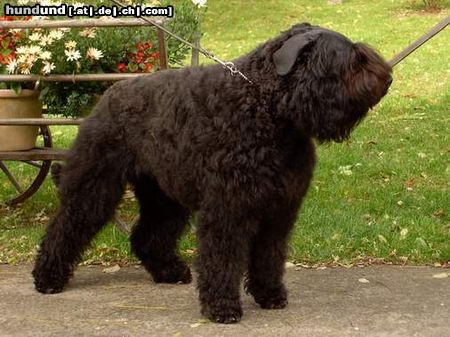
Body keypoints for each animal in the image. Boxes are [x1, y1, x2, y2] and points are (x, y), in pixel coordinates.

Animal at [32, 23, 390, 322]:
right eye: (352, 61)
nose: (386, 79)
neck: (266, 107)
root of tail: (109, 94)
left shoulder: (279, 210)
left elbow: (269, 256)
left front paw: (269, 295)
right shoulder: (227, 207)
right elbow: (222, 257)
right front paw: (222, 307)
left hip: (164, 198)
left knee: (148, 235)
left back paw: (169, 271)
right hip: (96, 186)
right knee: (65, 228)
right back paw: (47, 278)